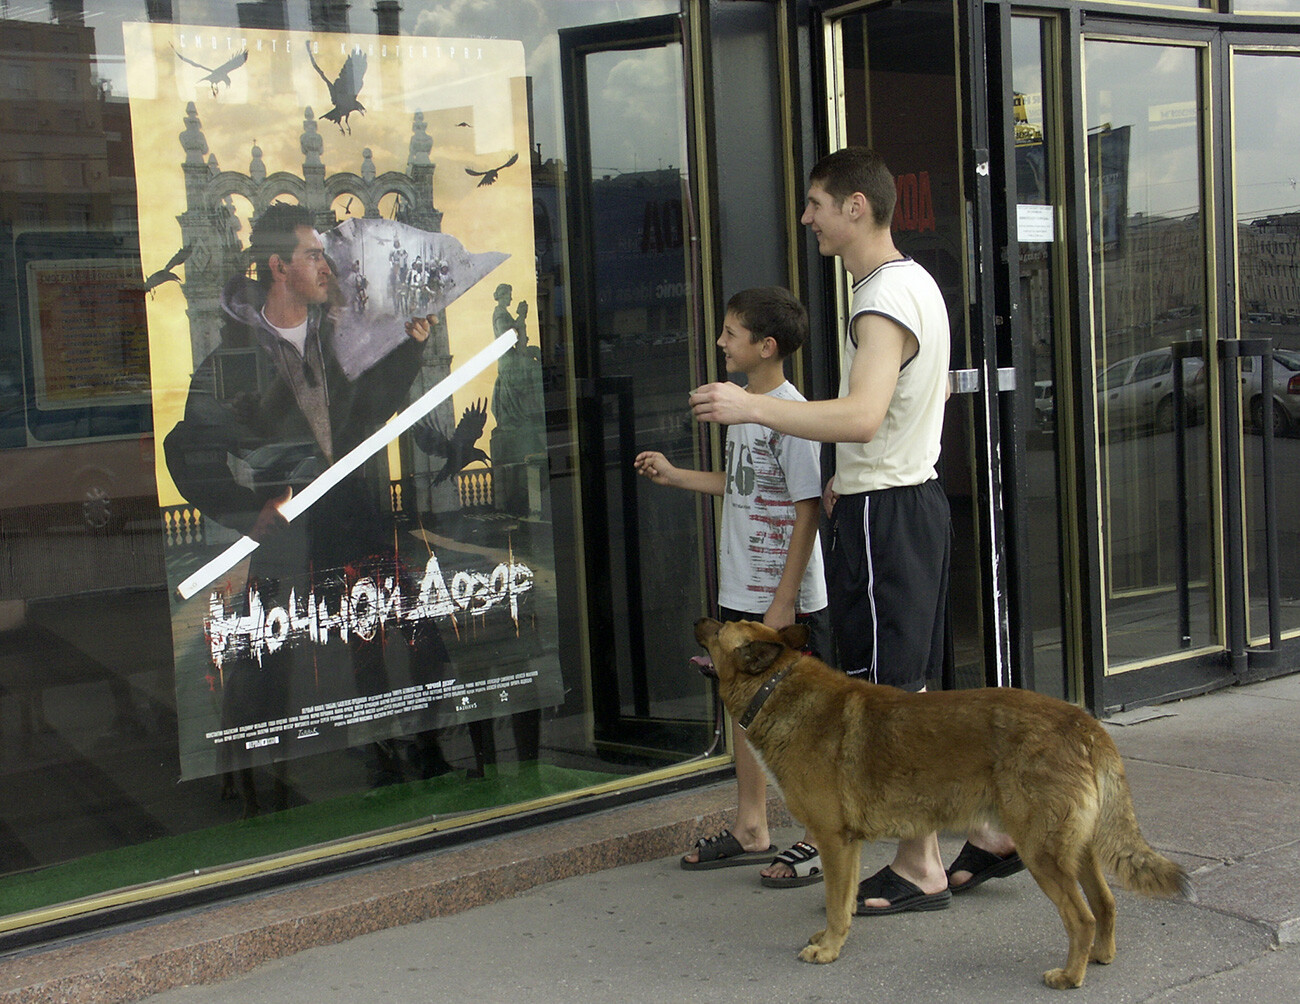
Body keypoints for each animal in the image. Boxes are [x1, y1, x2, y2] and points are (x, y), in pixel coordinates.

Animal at [696, 616, 1190, 993]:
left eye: (720, 627)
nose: (700, 618)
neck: (776, 686)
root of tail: (1082, 722)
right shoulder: (848, 847)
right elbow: (846, 902)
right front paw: (836, 938)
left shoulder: (835, 843)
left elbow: (837, 904)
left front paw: (829, 949)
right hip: (1076, 849)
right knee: (1106, 904)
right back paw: (1100, 957)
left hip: (1043, 853)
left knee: (1082, 917)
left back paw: (1070, 975)